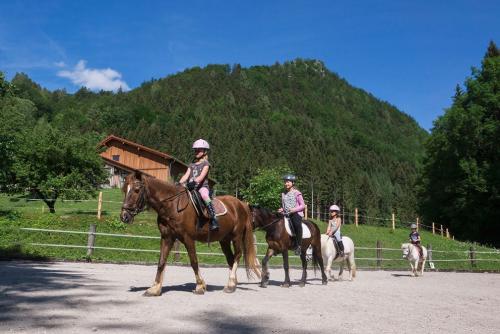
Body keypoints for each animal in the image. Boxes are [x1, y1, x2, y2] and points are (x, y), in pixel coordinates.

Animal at [121, 172, 260, 294]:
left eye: (136, 190)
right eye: (124, 190)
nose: (124, 216)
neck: (172, 206)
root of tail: (241, 204)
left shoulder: (188, 238)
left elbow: (194, 262)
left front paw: (200, 286)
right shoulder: (167, 238)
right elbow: (161, 262)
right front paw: (155, 288)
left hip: (236, 237)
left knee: (237, 255)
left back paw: (230, 284)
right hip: (224, 240)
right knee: (230, 259)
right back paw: (232, 284)